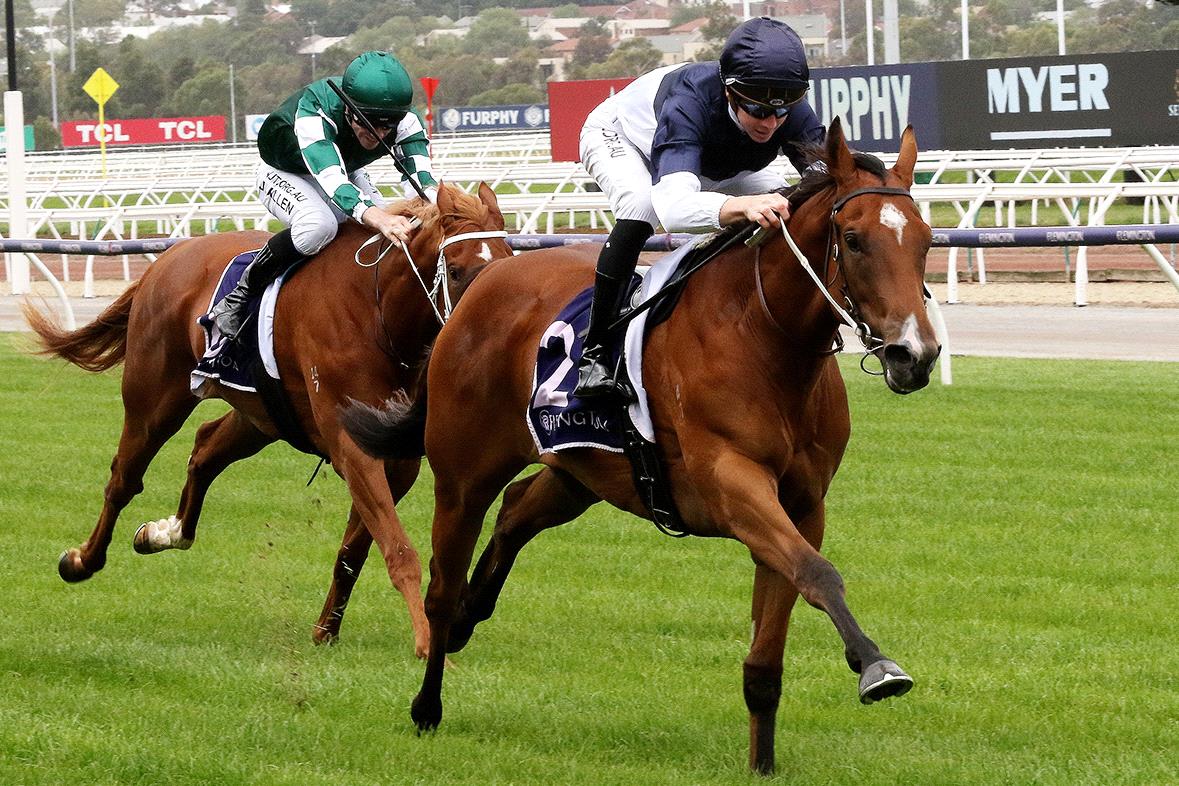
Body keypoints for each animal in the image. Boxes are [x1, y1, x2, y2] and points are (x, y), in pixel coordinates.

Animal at [22, 182, 511, 659]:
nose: (485, 325)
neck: (378, 311)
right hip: (155, 399)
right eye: (458, 269)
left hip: (261, 417)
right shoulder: (353, 449)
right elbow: (398, 549)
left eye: (508, 260)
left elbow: (355, 549)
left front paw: (326, 631)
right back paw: (81, 560)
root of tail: (171, 255)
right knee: (124, 478)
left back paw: (166, 533)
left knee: (205, 449)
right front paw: (428, 641)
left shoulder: (398, 462)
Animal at [341, 123, 938, 773]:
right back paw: (429, 700)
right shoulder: (732, 486)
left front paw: (763, 764)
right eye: (853, 240)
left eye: (926, 240)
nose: (915, 354)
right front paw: (877, 667)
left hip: (581, 470)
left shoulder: (803, 505)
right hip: (462, 478)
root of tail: (476, 292)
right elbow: (818, 573)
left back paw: (473, 612)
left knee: (518, 511)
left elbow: (770, 648)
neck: (764, 339)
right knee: (442, 588)